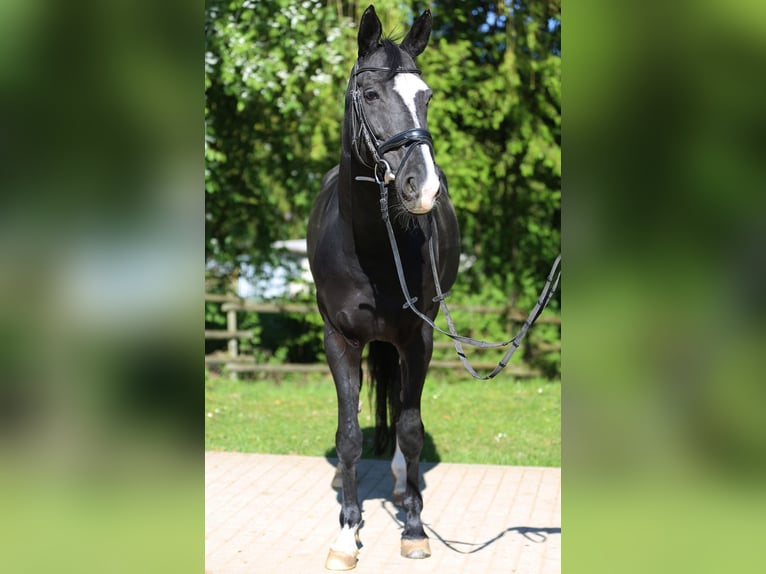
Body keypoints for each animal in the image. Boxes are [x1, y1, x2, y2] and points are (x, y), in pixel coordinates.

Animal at [307, 5, 460, 570]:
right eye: (370, 95)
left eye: (426, 96)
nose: (424, 187)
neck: (371, 248)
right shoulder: (339, 340)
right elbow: (348, 435)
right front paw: (346, 533)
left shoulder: (419, 339)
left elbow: (410, 429)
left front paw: (413, 528)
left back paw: (398, 487)